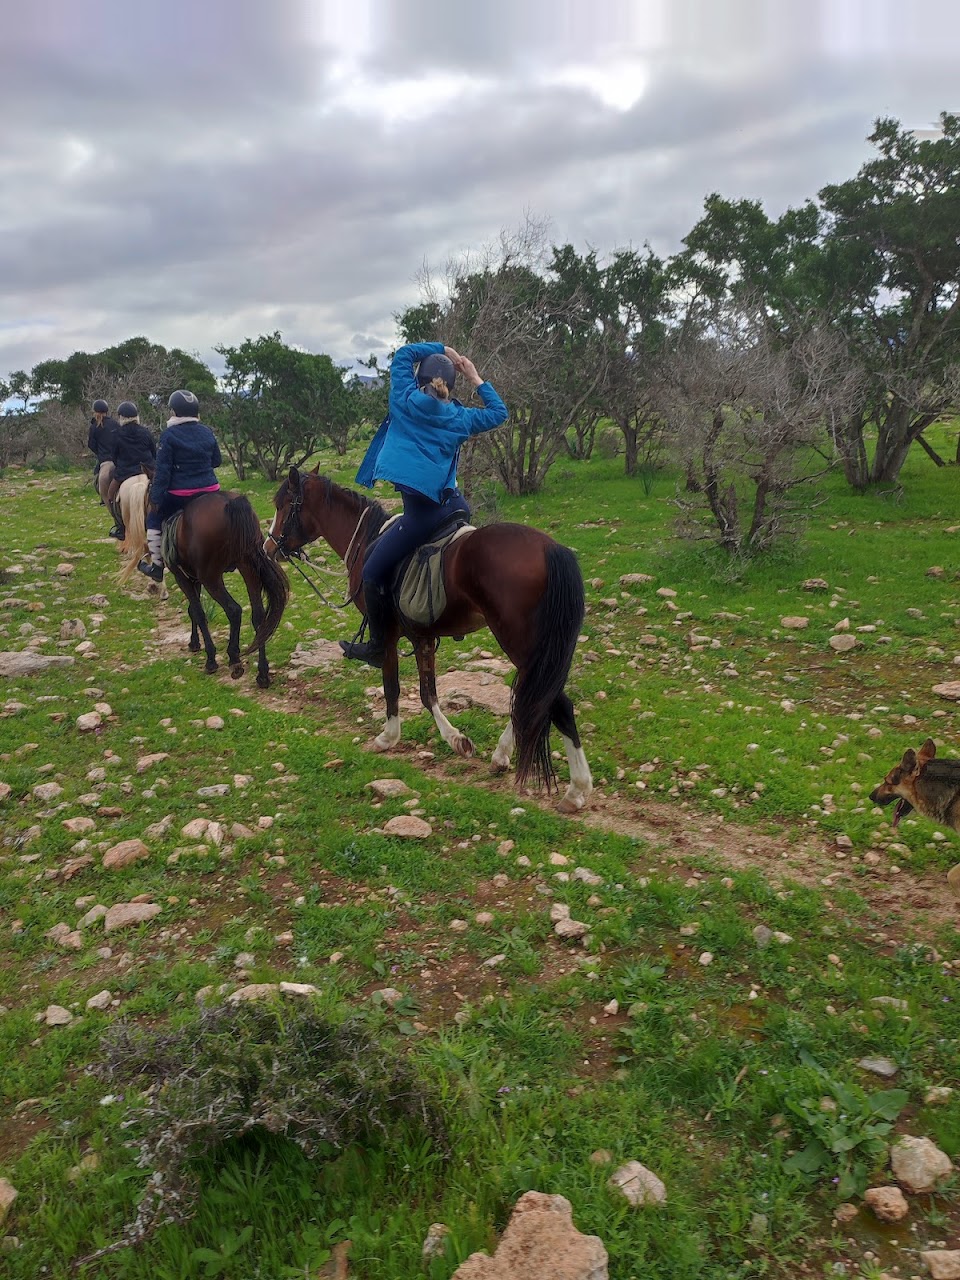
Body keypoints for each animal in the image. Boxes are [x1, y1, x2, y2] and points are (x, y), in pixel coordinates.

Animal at [164, 492, 290, 688]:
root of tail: (231, 501)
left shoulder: (181, 576)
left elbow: (198, 612)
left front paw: (210, 658)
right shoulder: (193, 578)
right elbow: (192, 610)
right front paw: (194, 643)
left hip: (211, 577)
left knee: (233, 609)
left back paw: (233, 659)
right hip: (248, 566)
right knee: (259, 617)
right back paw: (262, 674)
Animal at [266, 467, 593, 812]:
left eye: (283, 505)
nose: (268, 547)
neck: (367, 541)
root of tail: (551, 549)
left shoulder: (389, 636)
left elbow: (393, 687)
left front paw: (389, 737)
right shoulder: (421, 636)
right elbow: (428, 694)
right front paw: (457, 740)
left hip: (520, 642)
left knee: (553, 703)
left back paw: (576, 789)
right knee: (534, 698)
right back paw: (502, 756)